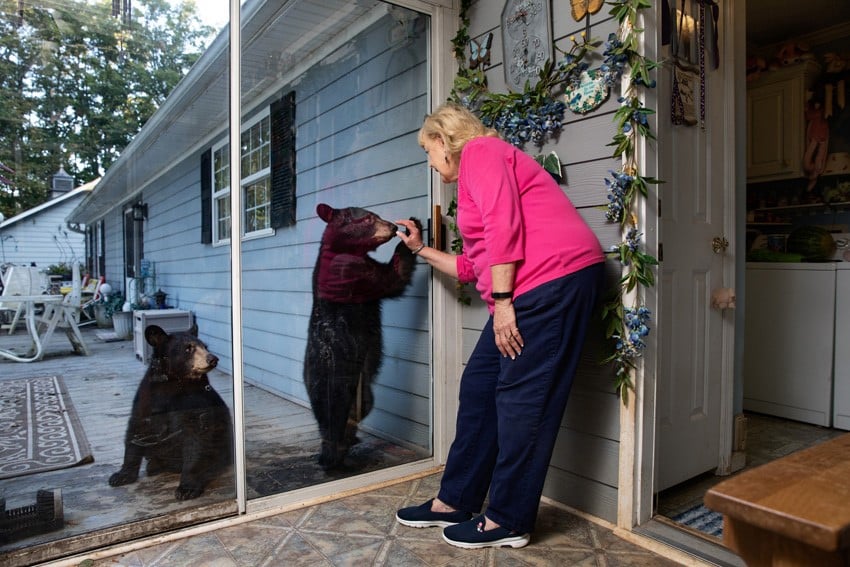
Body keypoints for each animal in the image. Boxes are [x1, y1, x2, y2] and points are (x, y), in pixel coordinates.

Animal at [107, 326, 232, 500]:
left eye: (205, 347)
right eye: (188, 348)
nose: (213, 359)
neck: (175, 384)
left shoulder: (196, 403)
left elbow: (197, 439)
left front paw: (187, 489)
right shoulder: (147, 398)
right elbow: (136, 429)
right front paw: (121, 475)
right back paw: (154, 465)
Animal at [304, 203, 418, 470]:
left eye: (376, 215)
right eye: (368, 218)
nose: (392, 227)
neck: (341, 248)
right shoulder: (352, 270)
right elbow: (390, 279)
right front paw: (411, 229)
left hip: (359, 388)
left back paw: (347, 441)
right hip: (338, 382)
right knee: (335, 419)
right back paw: (334, 456)